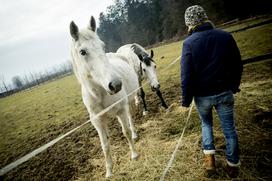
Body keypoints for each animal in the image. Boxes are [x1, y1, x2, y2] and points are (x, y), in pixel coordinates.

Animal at [69, 16, 139, 177]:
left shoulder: (120, 110)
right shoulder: (98, 121)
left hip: (128, 102)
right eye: (82, 52)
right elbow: (105, 145)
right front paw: (109, 172)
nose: (116, 85)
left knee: (130, 118)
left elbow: (125, 132)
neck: (100, 93)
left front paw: (134, 155)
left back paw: (134, 134)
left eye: (102, 46)